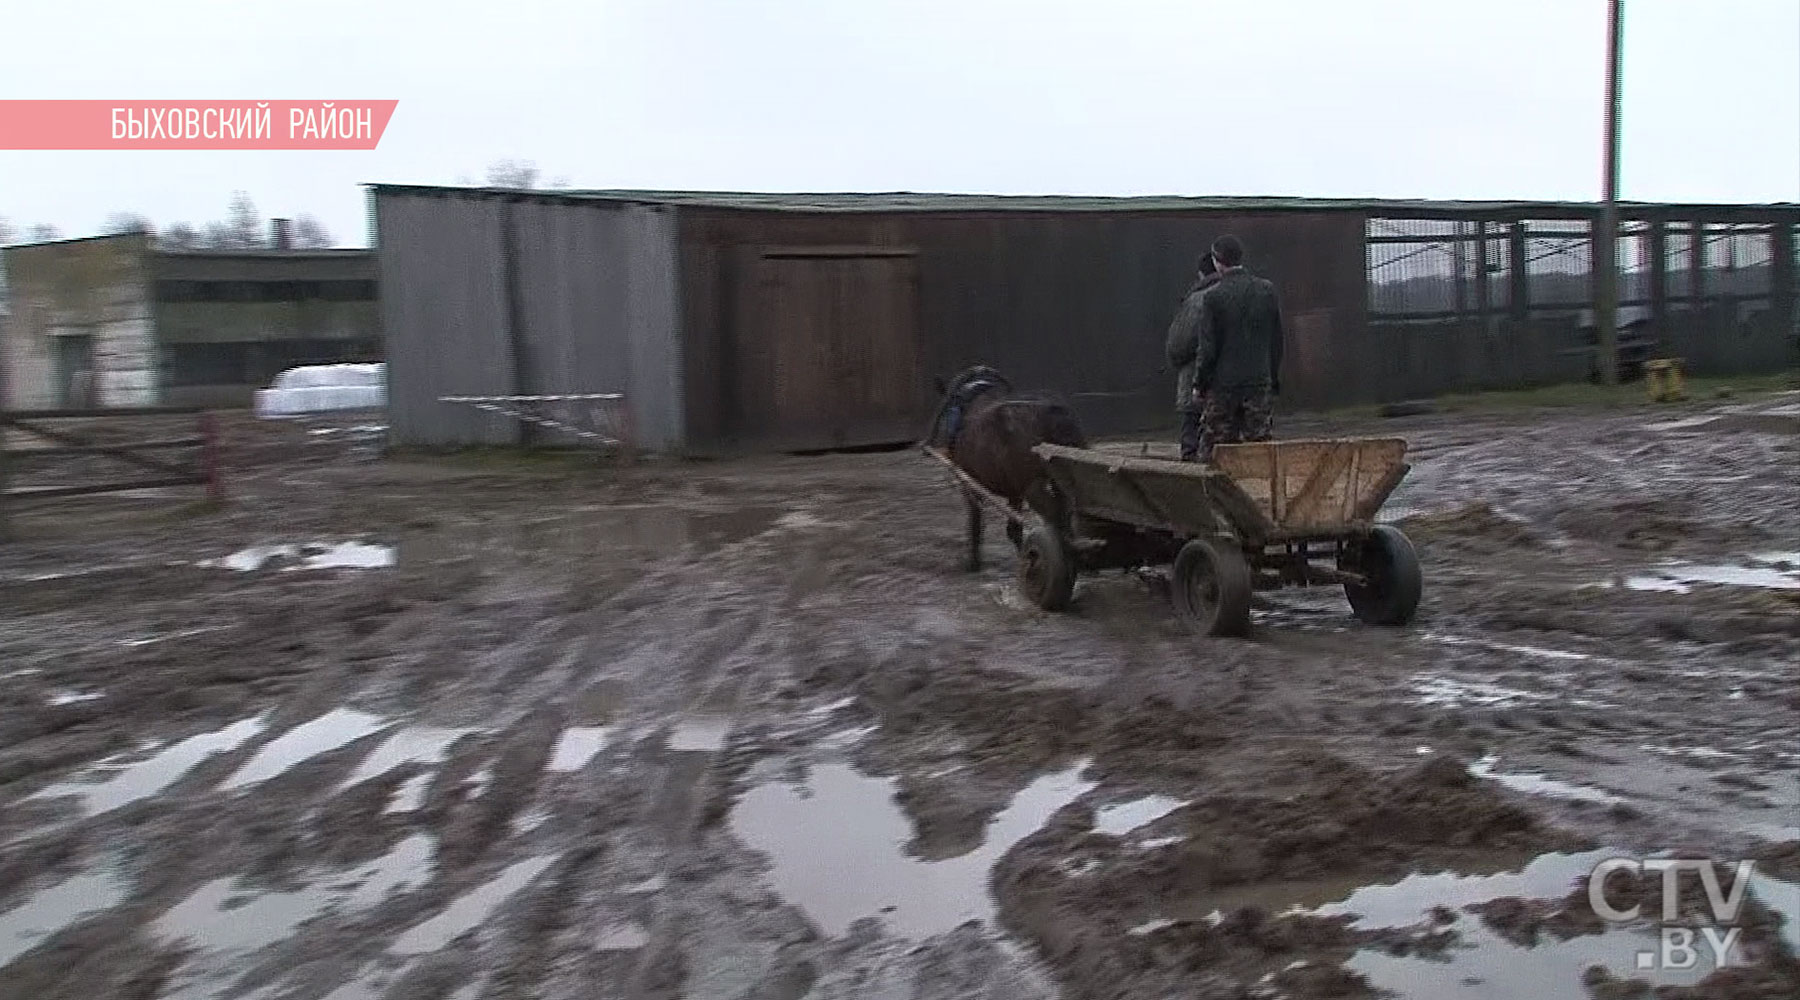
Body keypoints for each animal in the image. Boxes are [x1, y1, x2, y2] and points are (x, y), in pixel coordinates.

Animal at [928, 365, 1080, 571]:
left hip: (1033, 486)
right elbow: (1013, 528)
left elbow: (976, 521)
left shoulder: (969, 483)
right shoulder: (1014, 491)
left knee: (1054, 513)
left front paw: (974, 562)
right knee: (1067, 510)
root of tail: (1052, 412)